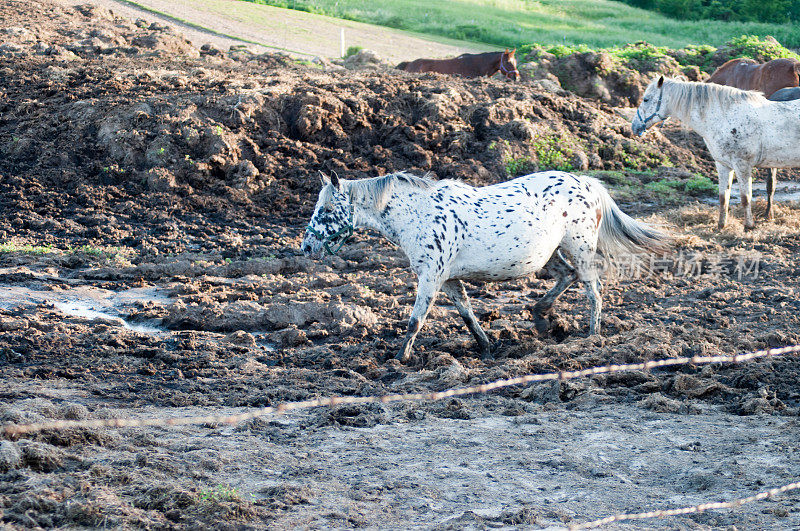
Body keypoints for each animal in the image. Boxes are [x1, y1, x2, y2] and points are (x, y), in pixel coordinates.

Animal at [300, 172, 668, 364]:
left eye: (327, 209)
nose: (306, 247)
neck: (416, 214)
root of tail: (586, 183)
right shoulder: (447, 280)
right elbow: (466, 313)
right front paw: (488, 347)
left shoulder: (431, 277)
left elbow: (415, 321)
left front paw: (400, 359)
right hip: (551, 254)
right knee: (569, 276)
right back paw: (540, 318)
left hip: (580, 248)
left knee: (594, 290)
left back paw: (592, 338)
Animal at [632, 76, 800, 230]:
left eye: (646, 99)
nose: (634, 126)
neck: (725, 117)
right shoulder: (723, 165)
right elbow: (723, 197)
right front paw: (721, 225)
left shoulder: (742, 165)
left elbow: (745, 197)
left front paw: (748, 226)